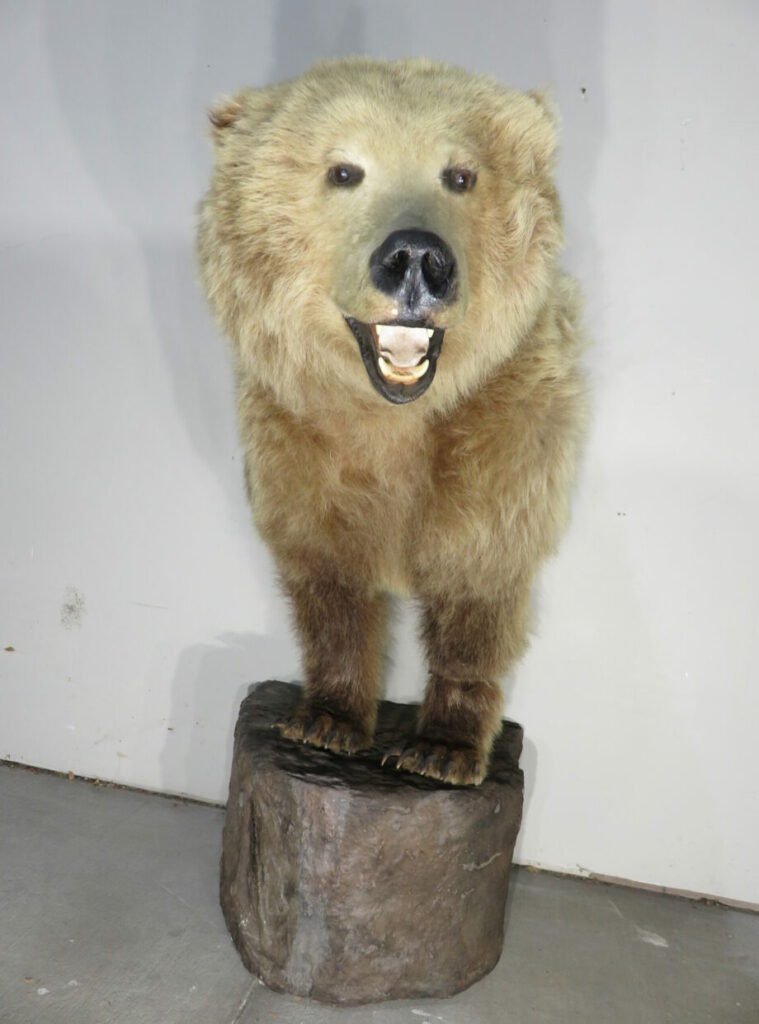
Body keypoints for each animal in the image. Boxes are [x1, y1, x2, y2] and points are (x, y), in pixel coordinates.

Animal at [197, 58, 587, 786]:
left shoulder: (502, 447)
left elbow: (477, 589)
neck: (394, 422)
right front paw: (324, 721)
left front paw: (442, 749)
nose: (415, 258)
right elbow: (330, 583)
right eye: (344, 170)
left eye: (460, 174)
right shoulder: (298, 447)